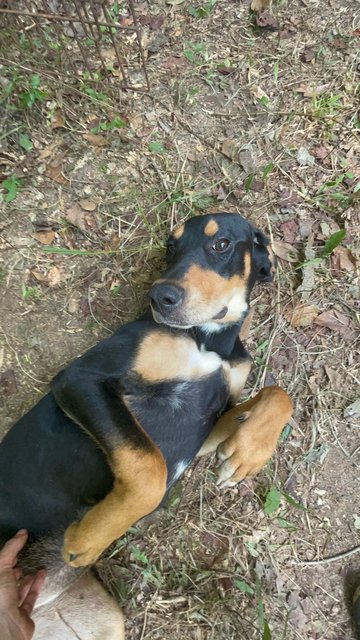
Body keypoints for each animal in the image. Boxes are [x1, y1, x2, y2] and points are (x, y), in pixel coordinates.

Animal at [0, 212, 292, 636]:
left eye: (221, 243)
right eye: (170, 247)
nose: (161, 297)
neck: (209, 339)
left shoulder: (204, 426)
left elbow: (278, 392)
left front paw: (247, 452)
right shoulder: (81, 380)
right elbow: (148, 467)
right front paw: (91, 535)